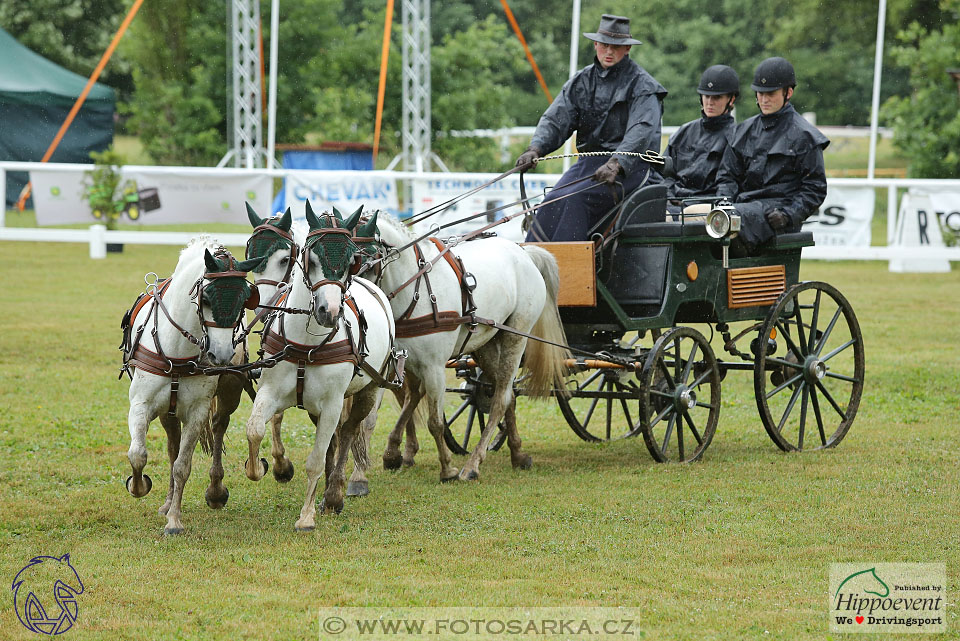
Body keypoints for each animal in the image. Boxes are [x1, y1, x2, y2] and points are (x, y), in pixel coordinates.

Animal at [127, 238, 262, 532]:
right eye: (206, 298)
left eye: (243, 300)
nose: (220, 355)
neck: (177, 351)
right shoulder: (141, 404)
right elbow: (138, 454)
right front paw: (140, 486)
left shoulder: (197, 412)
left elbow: (182, 466)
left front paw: (174, 521)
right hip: (167, 411)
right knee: (171, 446)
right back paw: (167, 501)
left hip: (229, 392)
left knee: (219, 425)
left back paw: (215, 491)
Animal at [248, 205, 398, 528]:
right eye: (311, 258)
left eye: (351, 261)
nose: (328, 312)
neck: (306, 343)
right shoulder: (271, 392)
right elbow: (255, 429)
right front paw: (259, 468)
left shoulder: (331, 403)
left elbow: (315, 460)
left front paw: (307, 516)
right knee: (335, 437)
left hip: (368, 389)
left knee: (350, 431)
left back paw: (335, 493)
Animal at [374, 214, 568, 480]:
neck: (415, 284)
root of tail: (523, 252)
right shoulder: (407, 359)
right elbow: (410, 400)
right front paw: (393, 454)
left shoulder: (433, 366)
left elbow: (434, 419)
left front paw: (447, 469)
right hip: (485, 344)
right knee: (505, 393)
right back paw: (518, 454)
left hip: (515, 337)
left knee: (501, 398)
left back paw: (473, 465)